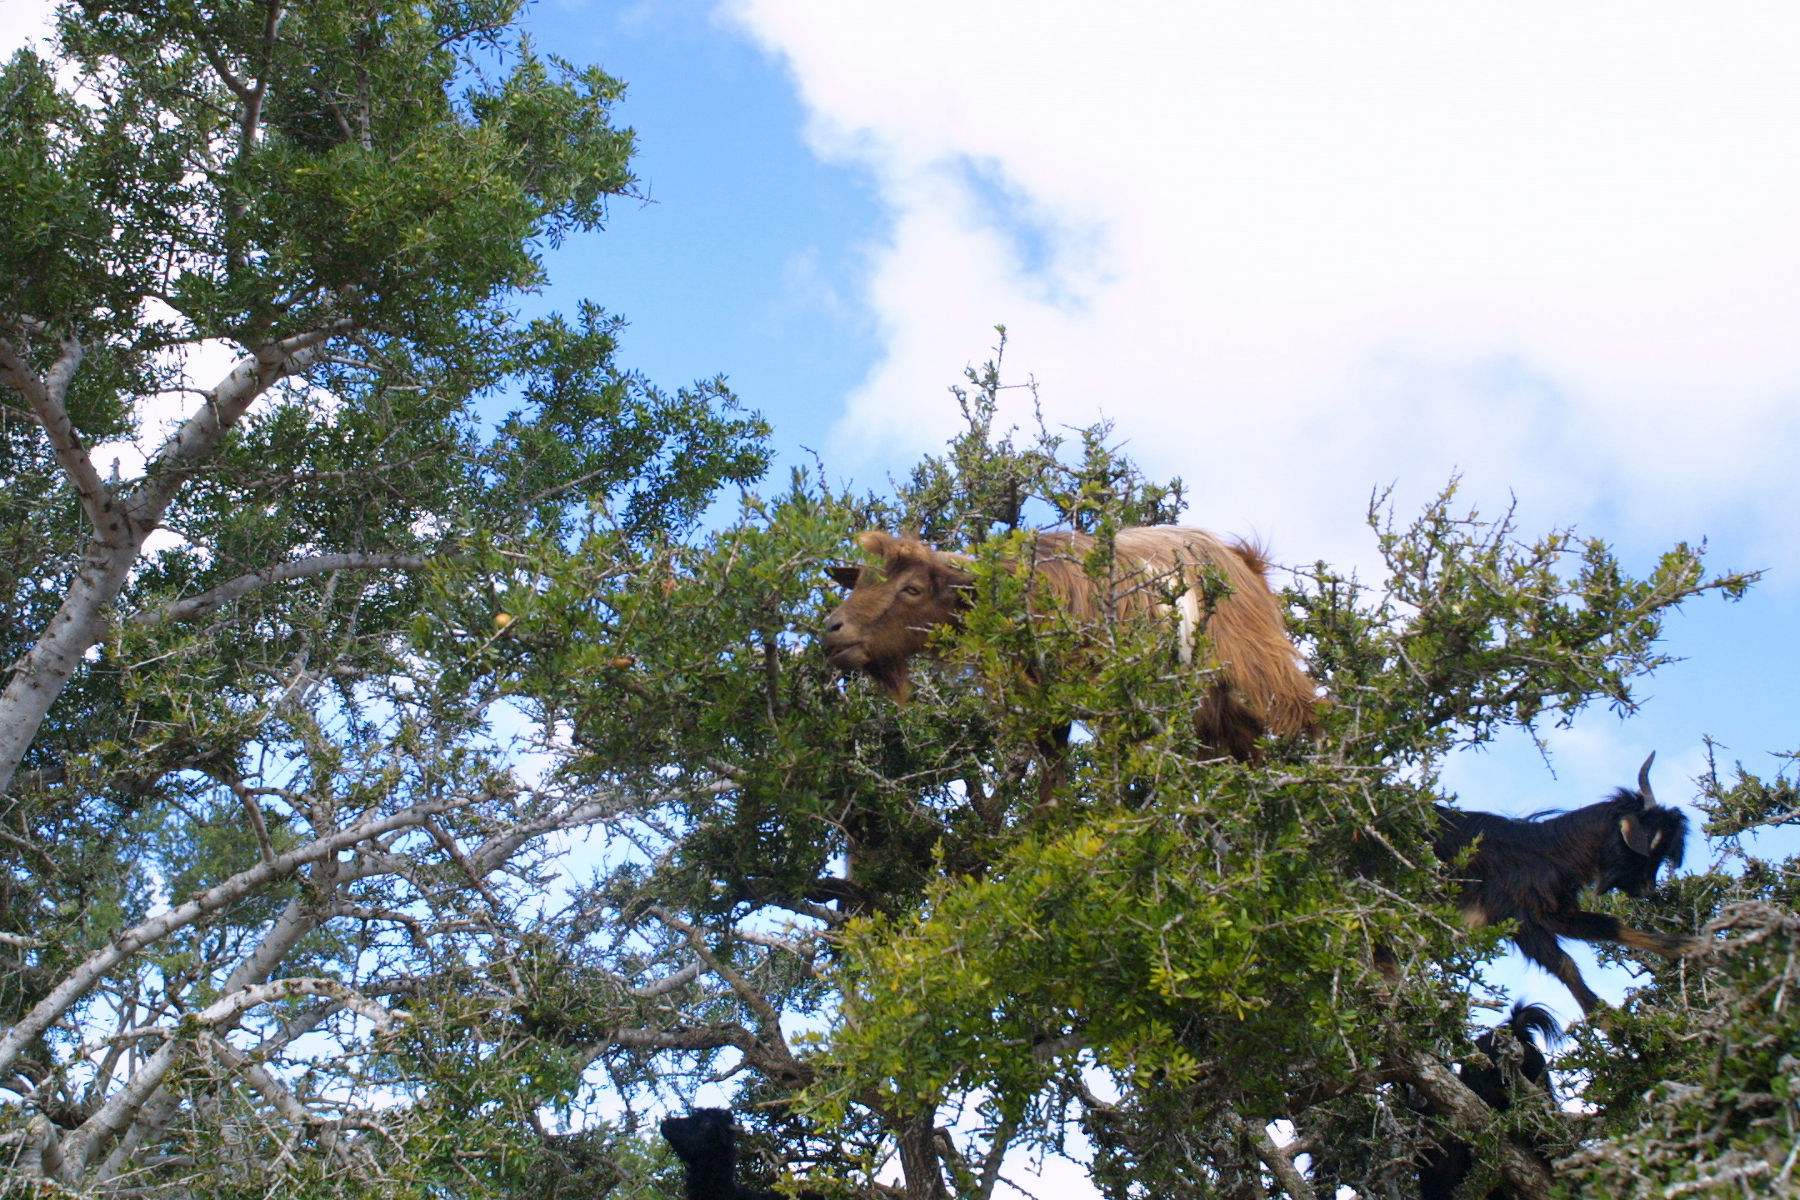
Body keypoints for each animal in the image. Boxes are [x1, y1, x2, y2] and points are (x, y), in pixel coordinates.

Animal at [820, 525, 1324, 759]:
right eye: (859, 581)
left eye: (912, 589)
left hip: (1258, 664)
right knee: (1240, 738)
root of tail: (1243, 560)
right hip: (1210, 696)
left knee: (1307, 715)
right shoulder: (1049, 709)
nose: (832, 630)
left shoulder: (1112, 701)